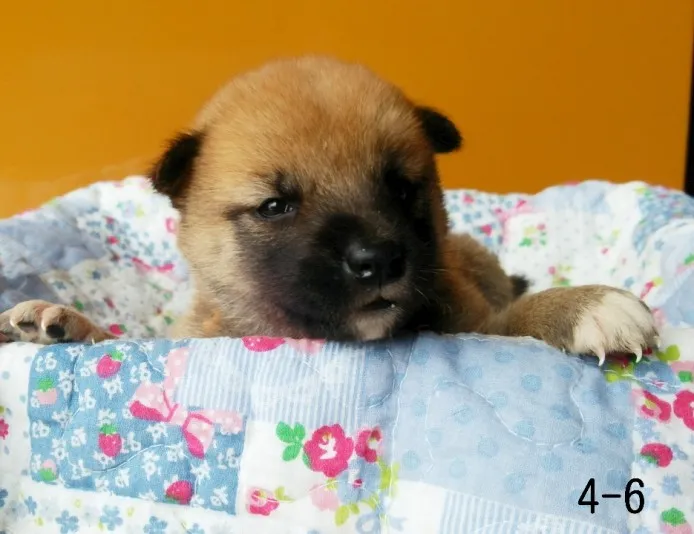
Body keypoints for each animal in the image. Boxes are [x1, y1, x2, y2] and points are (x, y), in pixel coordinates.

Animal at [0, 56, 660, 366]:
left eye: (402, 188)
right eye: (275, 206)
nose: (380, 261)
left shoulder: (475, 321)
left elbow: (509, 323)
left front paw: (580, 305)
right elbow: (126, 338)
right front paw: (61, 321)